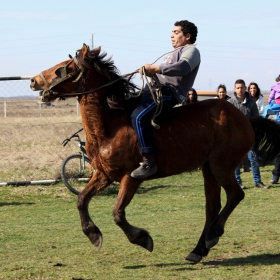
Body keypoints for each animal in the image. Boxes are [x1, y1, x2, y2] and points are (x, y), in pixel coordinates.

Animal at [30, 43, 280, 262]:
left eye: (64, 67)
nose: (34, 81)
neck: (110, 125)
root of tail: (246, 119)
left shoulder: (130, 177)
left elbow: (117, 213)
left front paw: (142, 238)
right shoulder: (104, 174)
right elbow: (82, 199)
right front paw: (93, 234)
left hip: (222, 167)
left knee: (235, 196)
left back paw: (212, 235)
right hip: (209, 170)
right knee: (212, 208)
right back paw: (198, 249)